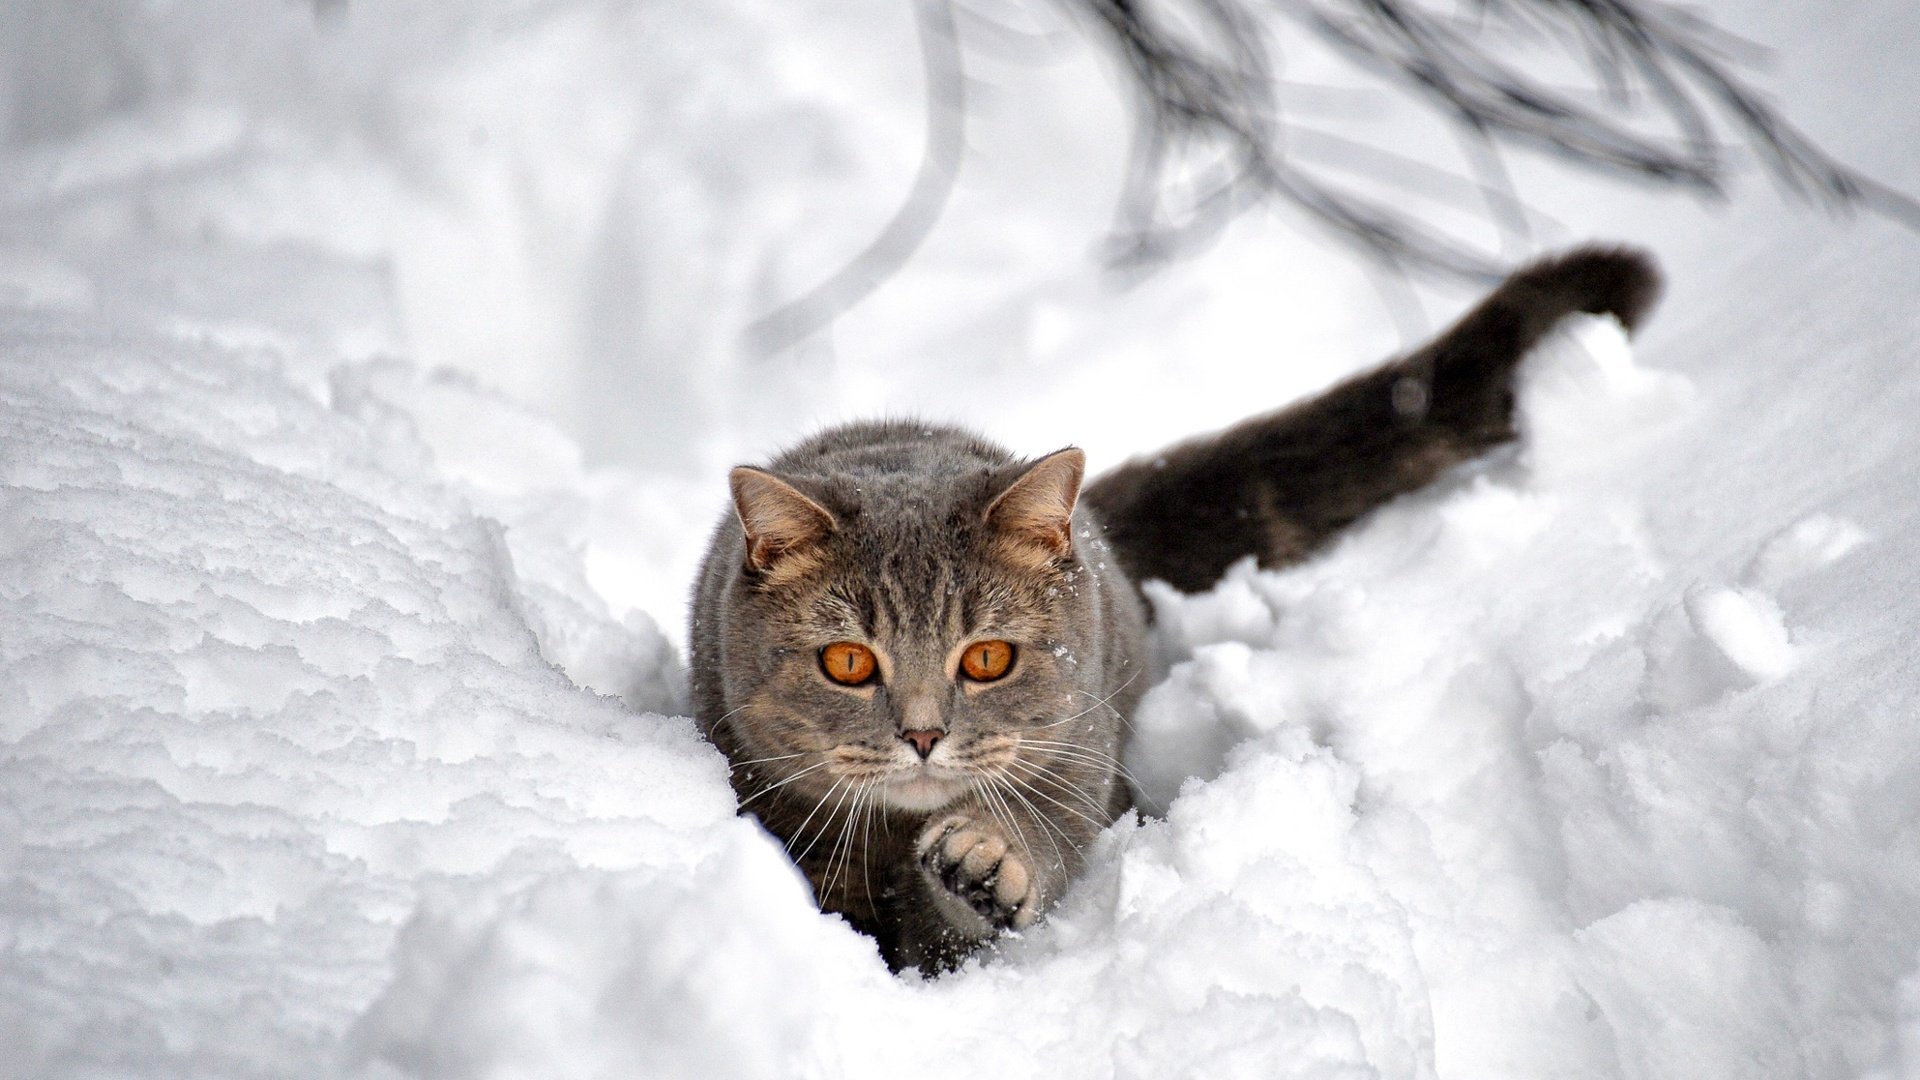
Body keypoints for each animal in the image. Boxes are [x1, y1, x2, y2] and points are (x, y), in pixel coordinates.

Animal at [695, 247, 1666, 972]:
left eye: (987, 659)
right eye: (849, 663)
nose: (925, 734)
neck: (898, 834)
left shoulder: (1075, 764)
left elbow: (1000, 888)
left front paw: (981, 862)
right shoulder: (785, 815)